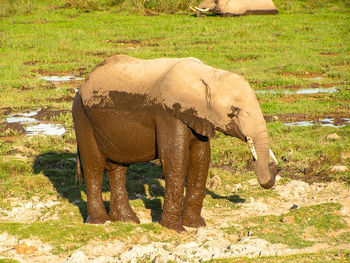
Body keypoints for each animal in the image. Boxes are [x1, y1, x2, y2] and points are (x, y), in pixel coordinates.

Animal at [72, 55, 278, 233]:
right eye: (234, 111)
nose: (277, 169)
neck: (208, 76)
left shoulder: (199, 117)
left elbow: (201, 158)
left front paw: (196, 225)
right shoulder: (168, 114)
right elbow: (175, 158)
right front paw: (176, 230)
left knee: (118, 169)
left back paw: (127, 220)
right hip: (82, 116)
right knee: (94, 166)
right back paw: (101, 221)